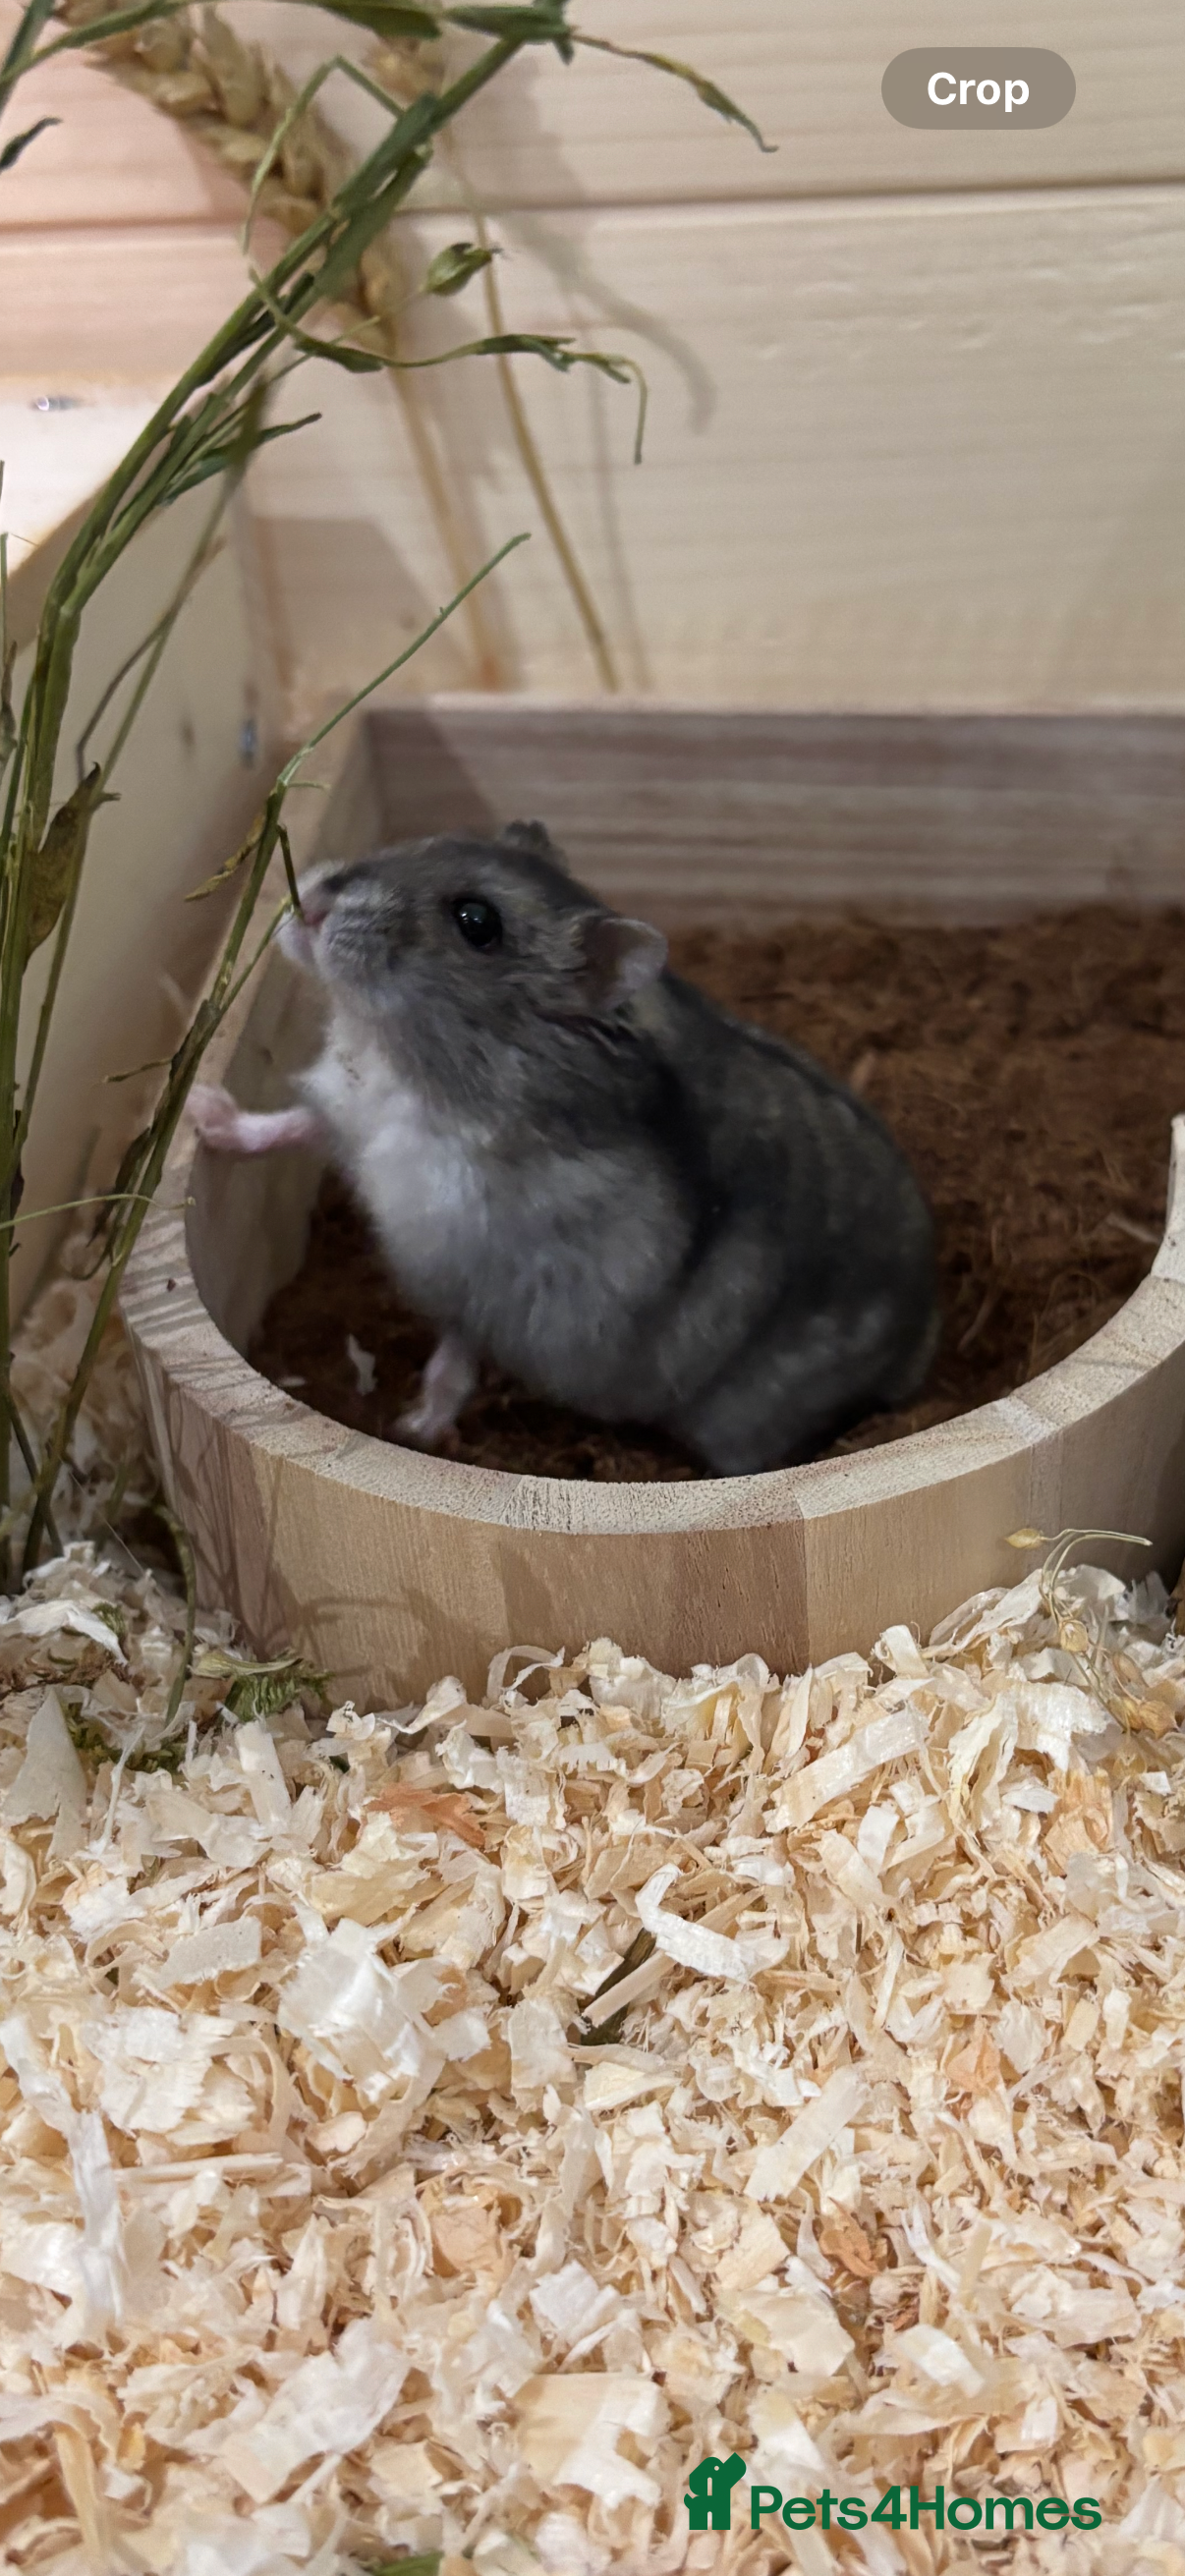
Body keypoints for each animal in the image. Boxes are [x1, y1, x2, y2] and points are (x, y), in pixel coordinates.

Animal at [190, 822, 938, 1474]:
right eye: (429, 840)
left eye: (477, 922)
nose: (312, 903)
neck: (406, 1058)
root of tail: (920, 1337)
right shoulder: (350, 1115)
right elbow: (288, 1124)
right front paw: (202, 1109)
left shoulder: (474, 1269)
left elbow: (455, 1355)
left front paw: (416, 1428)